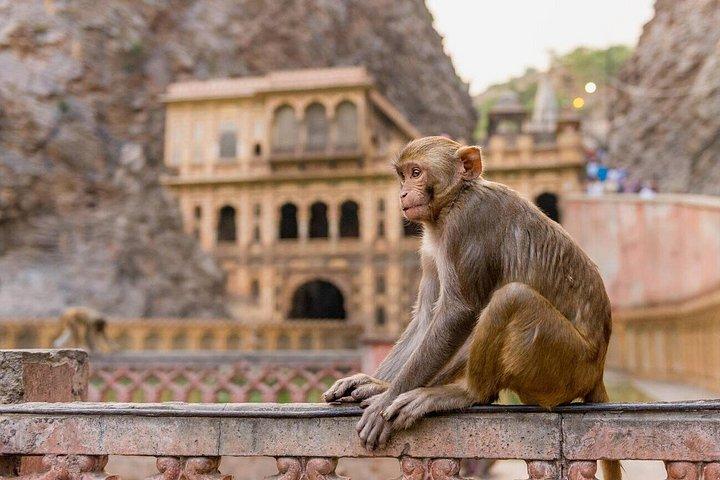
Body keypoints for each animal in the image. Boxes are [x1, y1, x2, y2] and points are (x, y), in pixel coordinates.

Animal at [323, 136, 620, 480]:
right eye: (402, 175)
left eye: (416, 173)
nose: (402, 193)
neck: (454, 200)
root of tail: (597, 368)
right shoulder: (431, 245)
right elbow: (427, 318)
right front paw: (376, 385)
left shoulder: (465, 225)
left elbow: (458, 312)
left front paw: (385, 399)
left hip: (565, 365)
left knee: (512, 298)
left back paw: (468, 393)